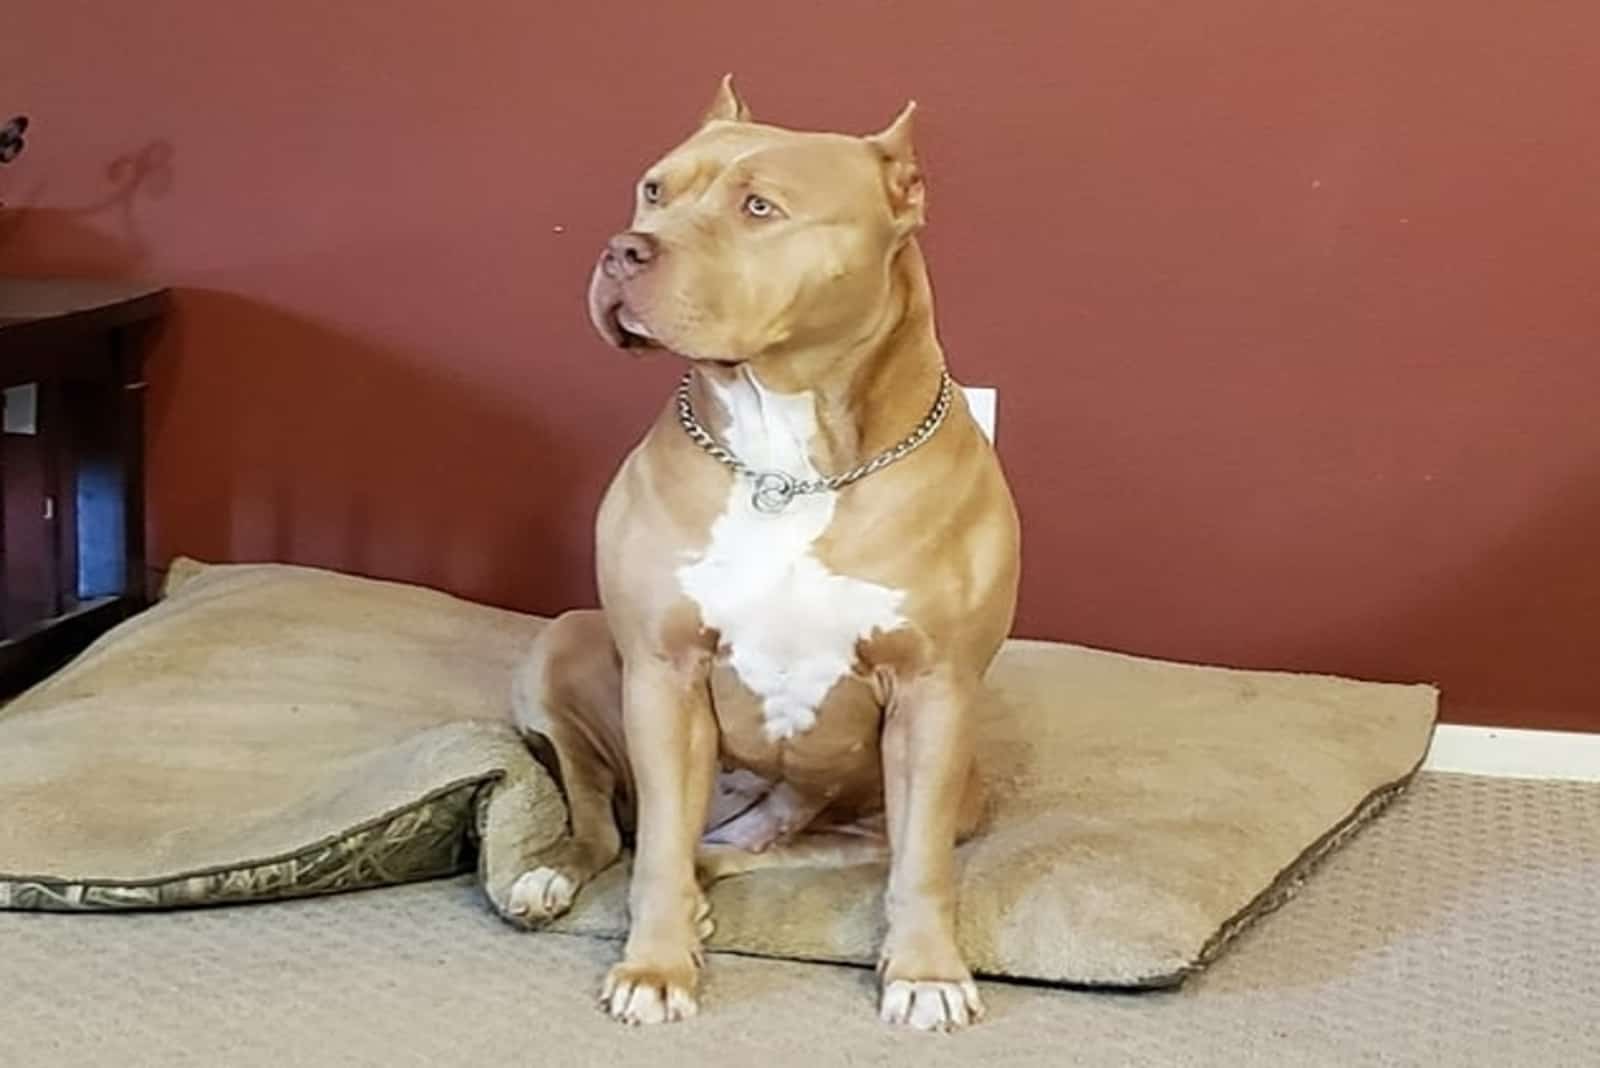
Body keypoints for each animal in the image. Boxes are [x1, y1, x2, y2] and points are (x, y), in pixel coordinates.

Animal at [512, 70, 1017, 1029]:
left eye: (759, 208)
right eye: (653, 190)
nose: (623, 251)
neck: (785, 462)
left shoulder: (933, 694)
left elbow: (922, 864)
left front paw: (926, 972)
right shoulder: (666, 673)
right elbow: (656, 849)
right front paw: (656, 966)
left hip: (942, 786)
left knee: (777, 846)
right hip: (560, 648)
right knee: (612, 824)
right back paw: (555, 876)